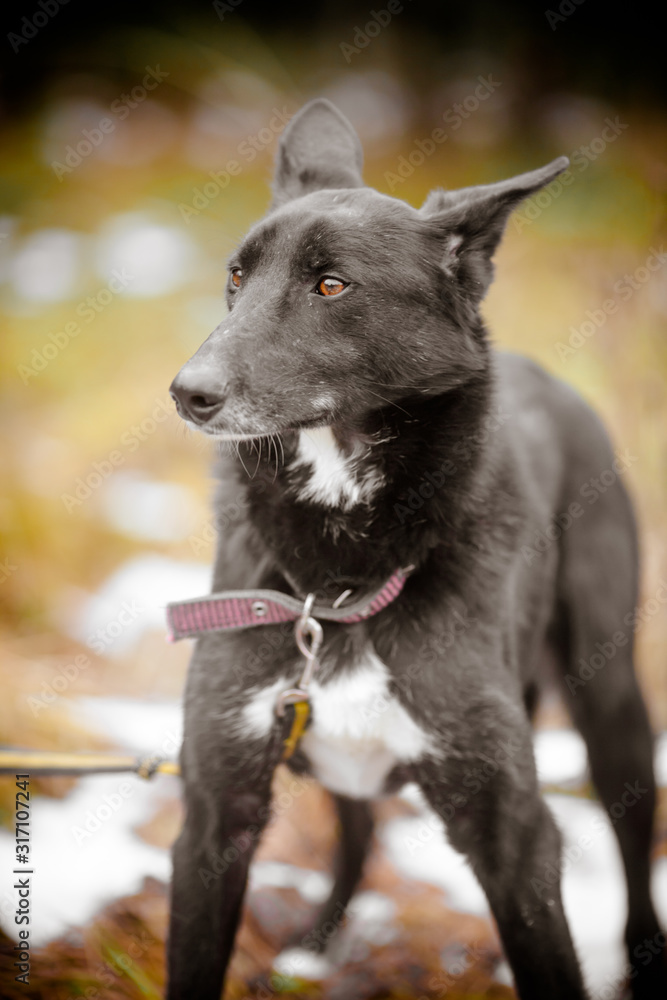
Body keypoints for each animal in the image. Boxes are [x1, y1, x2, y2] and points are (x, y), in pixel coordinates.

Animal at [166, 97, 664, 996]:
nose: (188, 394)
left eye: (330, 285)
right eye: (236, 277)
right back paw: (317, 943)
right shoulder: (215, 818)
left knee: (632, 836)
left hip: (609, 694)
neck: (336, 581)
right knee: (358, 834)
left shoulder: (513, 836)